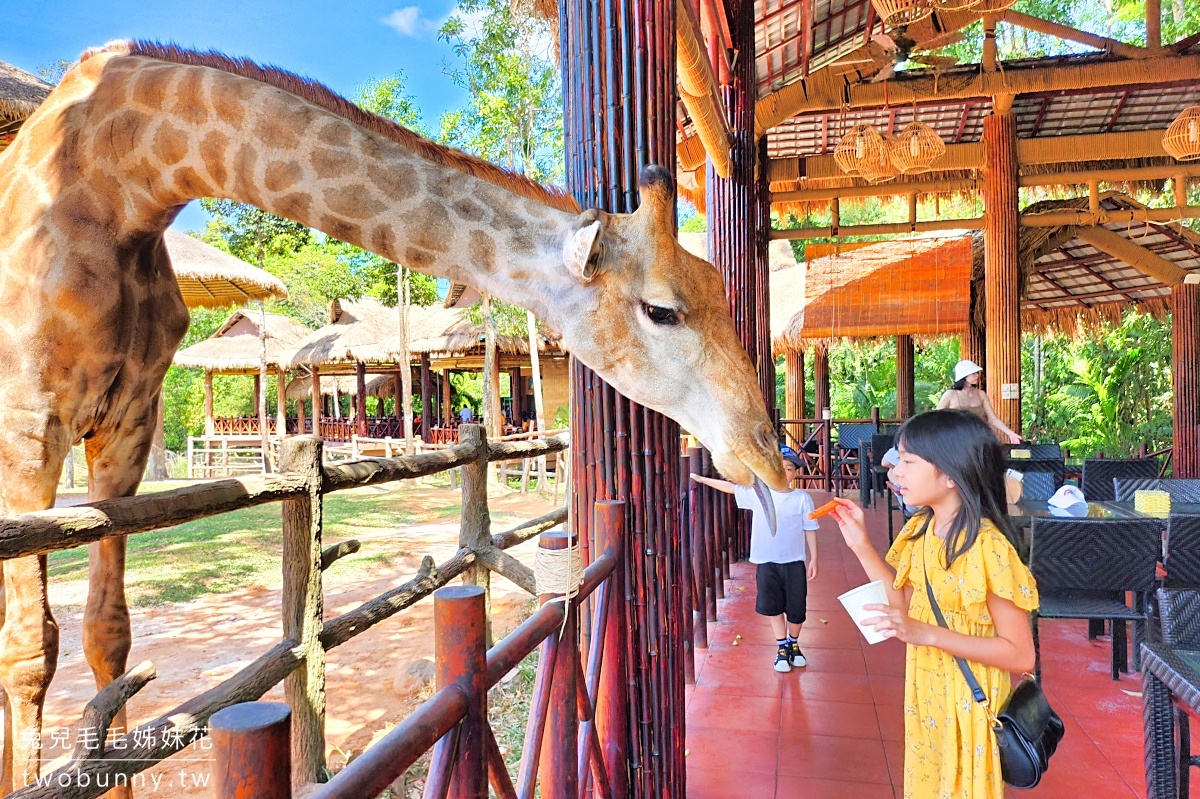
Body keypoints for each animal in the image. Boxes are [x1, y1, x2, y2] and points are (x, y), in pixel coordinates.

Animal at [0, 41, 787, 791]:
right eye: (661, 309)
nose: (770, 459)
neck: (127, 170)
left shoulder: (129, 422)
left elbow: (107, 637)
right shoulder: (26, 427)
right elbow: (30, 651)